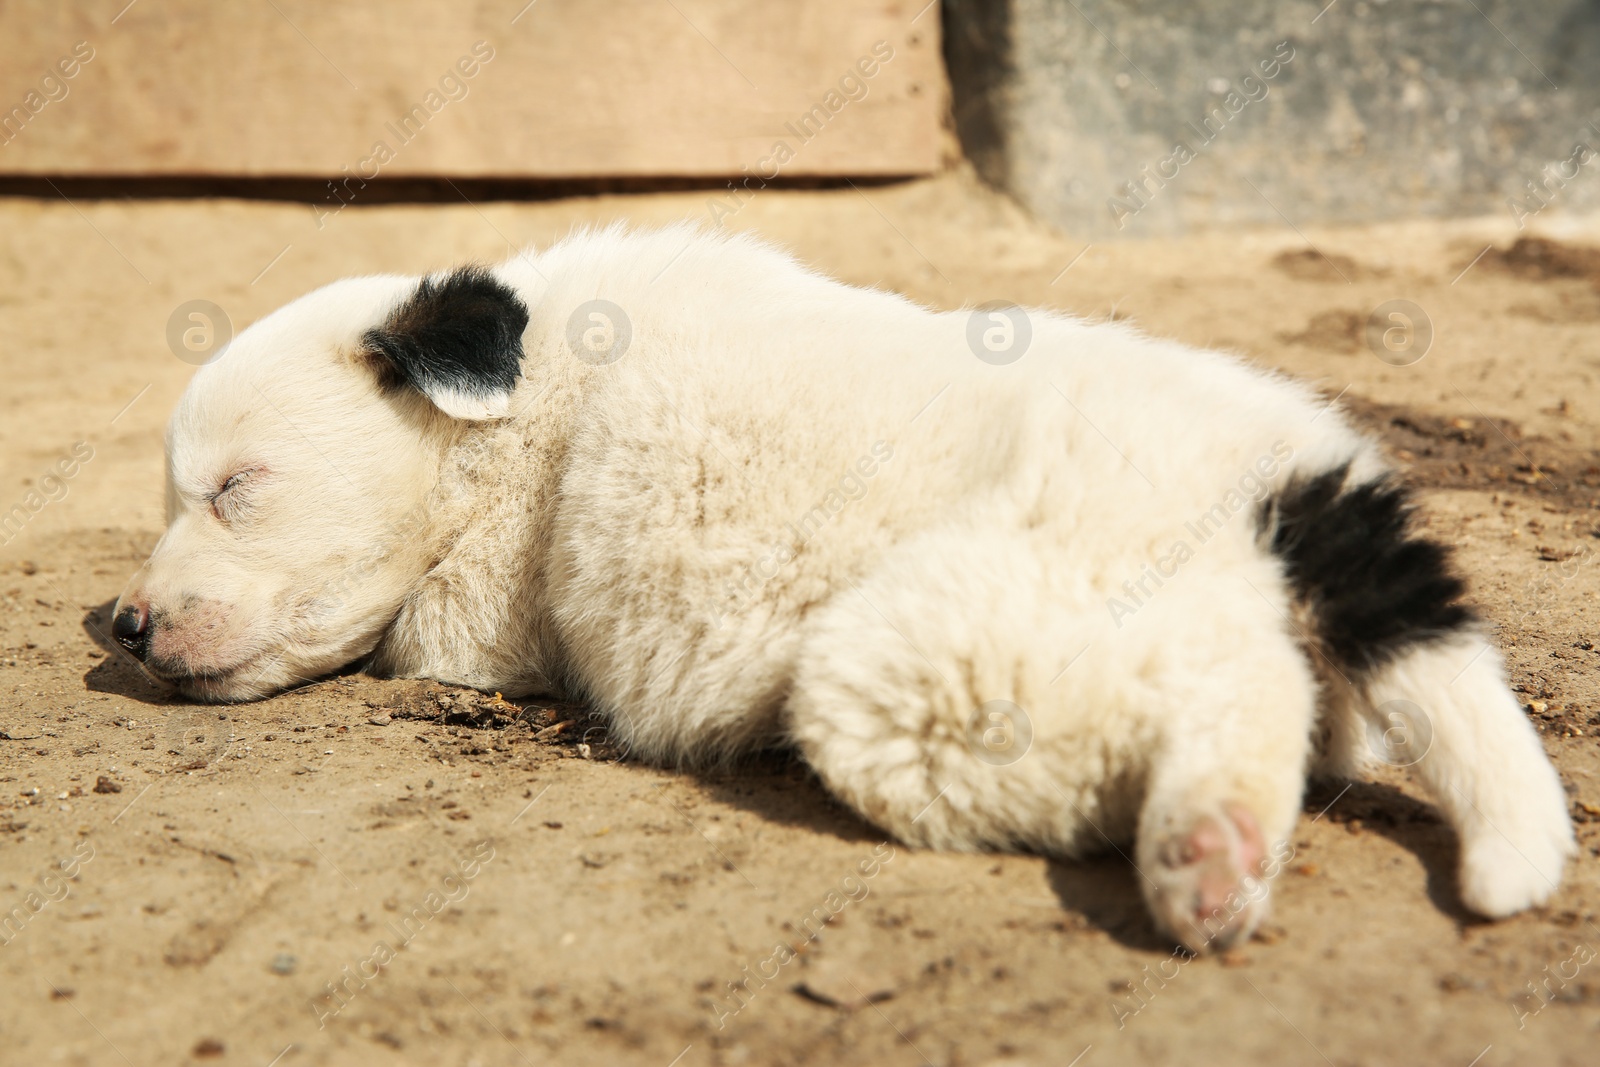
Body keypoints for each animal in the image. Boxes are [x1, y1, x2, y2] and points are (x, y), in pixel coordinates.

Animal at [116, 223, 1574, 953]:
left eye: (237, 487)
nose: (123, 623)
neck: (531, 408)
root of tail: (1287, 469)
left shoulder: (486, 601)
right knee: (1265, 692)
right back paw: (1209, 856)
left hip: (937, 642)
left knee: (1218, 681)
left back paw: (1199, 856)